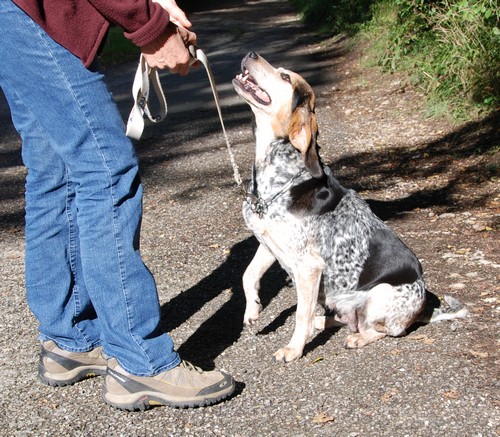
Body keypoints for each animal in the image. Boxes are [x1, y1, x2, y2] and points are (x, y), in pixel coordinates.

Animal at [232, 51, 466, 362]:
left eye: (284, 77)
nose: (251, 53)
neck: (280, 179)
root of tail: (425, 311)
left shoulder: (308, 268)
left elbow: (301, 316)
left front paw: (293, 350)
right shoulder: (269, 244)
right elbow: (248, 275)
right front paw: (253, 310)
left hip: (380, 295)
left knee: (381, 330)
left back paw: (356, 337)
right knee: (338, 320)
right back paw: (324, 323)